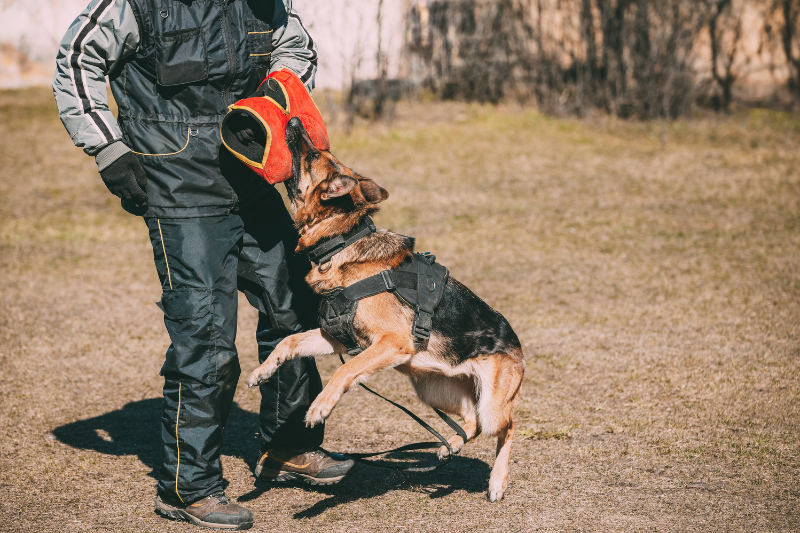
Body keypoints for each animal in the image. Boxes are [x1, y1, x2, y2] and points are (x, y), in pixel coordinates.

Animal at [250, 115, 524, 498]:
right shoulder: (336, 337)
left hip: (491, 405)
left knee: (507, 426)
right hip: (433, 389)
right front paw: (263, 370)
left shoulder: (390, 342)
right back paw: (450, 445)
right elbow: (288, 342)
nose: (293, 120)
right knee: (471, 422)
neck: (340, 243)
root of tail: (517, 344)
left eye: (312, 155)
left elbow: (345, 371)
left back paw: (497, 481)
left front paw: (320, 406)